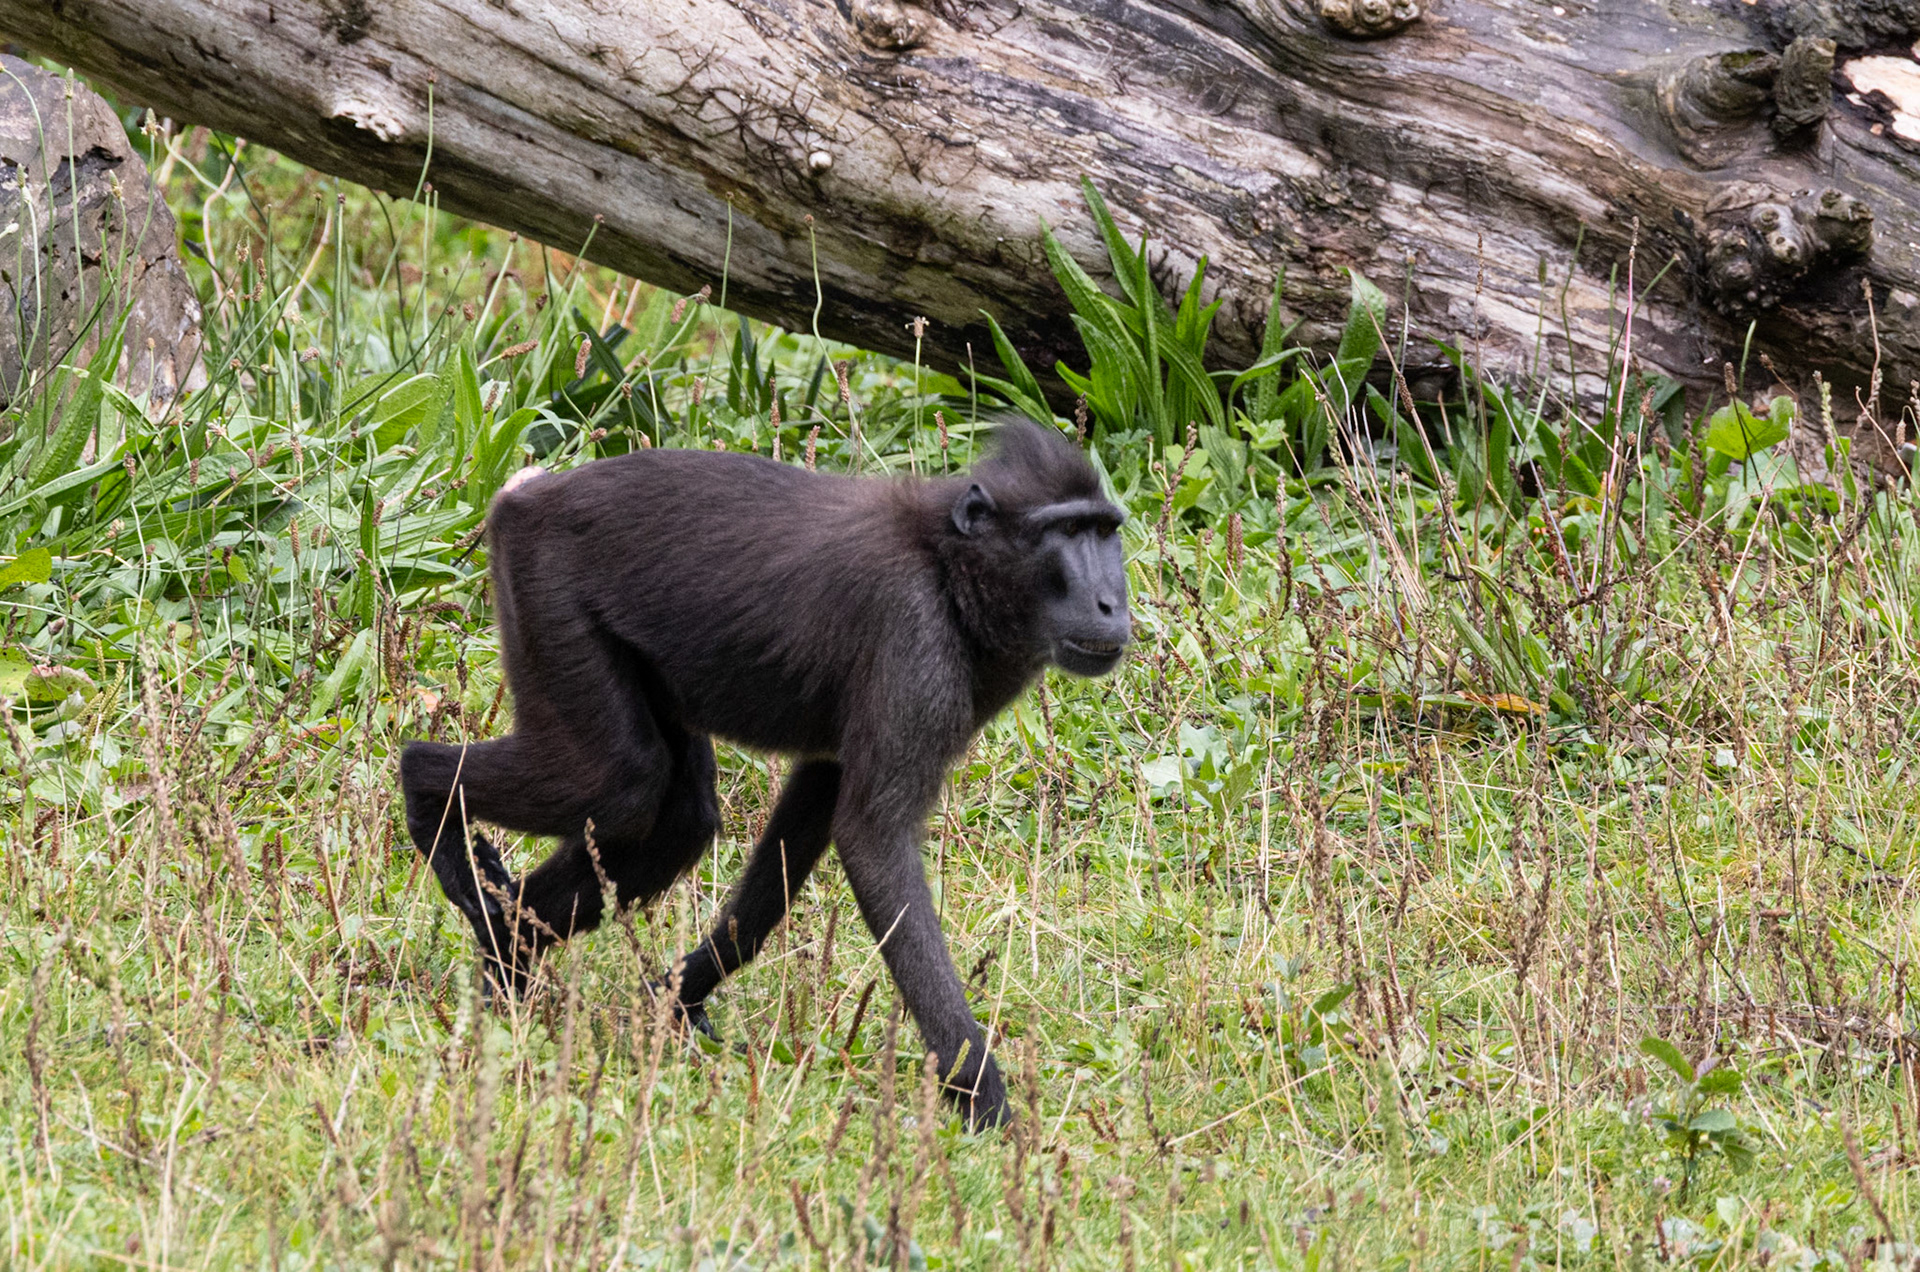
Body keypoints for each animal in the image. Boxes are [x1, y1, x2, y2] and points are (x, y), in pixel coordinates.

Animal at [397, 421, 1131, 1128]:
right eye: (1067, 533)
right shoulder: (913, 636)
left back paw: (507, 949)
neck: (949, 563)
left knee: (675, 818)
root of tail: (527, 495)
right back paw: (429, 798)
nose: (1112, 606)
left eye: (1105, 531)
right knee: (617, 783)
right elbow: (873, 840)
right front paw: (982, 1099)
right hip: (547, 592)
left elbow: (801, 833)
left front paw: (674, 997)